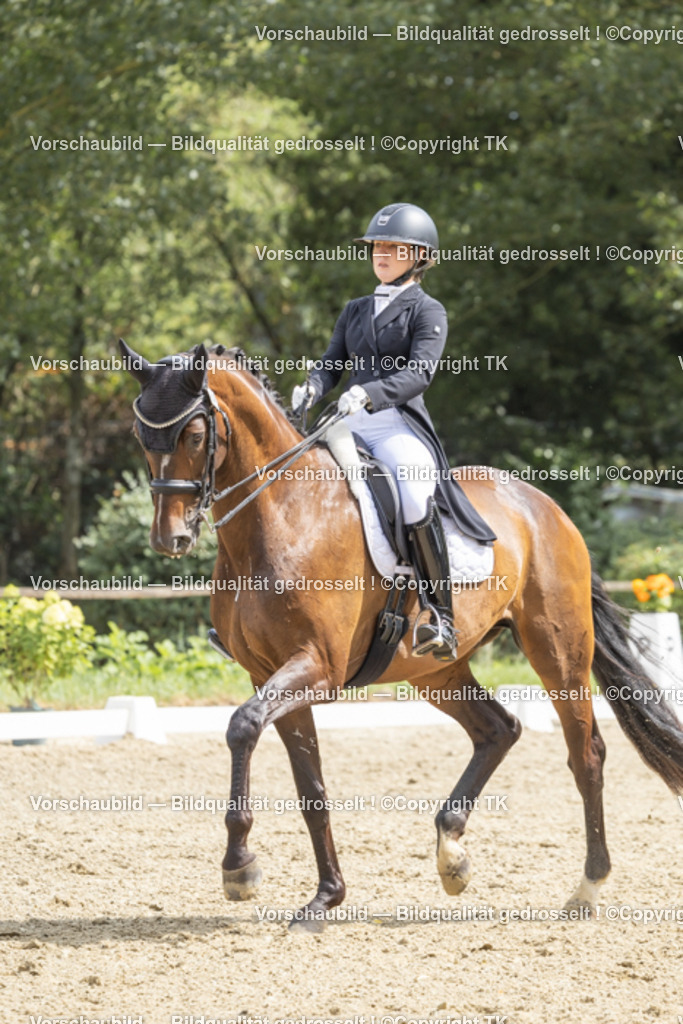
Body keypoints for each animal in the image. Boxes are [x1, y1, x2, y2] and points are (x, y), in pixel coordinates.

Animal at [120, 338, 683, 933]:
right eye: (140, 436)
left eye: (194, 435)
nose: (169, 538)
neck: (283, 516)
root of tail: (545, 506)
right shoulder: (269, 673)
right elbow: (310, 787)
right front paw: (324, 898)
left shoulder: (316, 668)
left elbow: (242, 726)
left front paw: (240, 867)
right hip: (435, 669)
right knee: (498, 729)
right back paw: (452, 854)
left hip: (558, 653)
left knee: (587, 754)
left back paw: (587, 887)